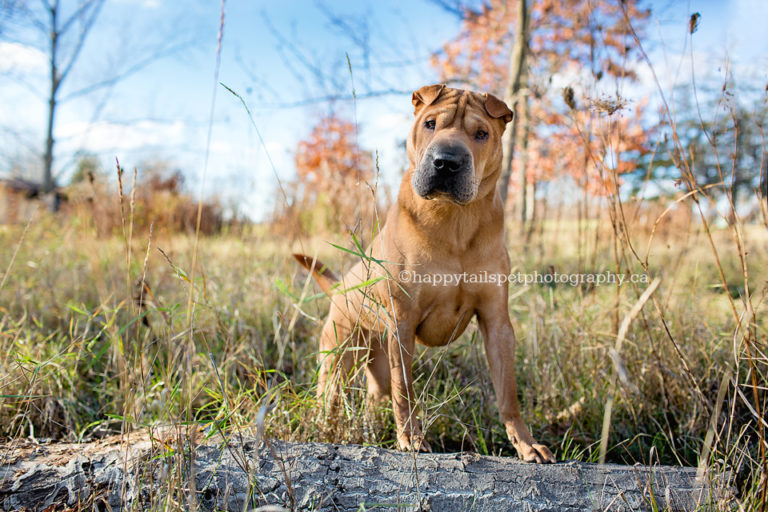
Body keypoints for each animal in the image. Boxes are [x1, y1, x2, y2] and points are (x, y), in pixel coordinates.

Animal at [294, 85, 552, 464]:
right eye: (430, 123)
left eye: (481, 134)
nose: (446, 162)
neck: (453, 219)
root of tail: (340, 287)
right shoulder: (403, 320)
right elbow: (405, 389)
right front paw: (411, 437)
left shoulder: (496, 322)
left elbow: (508, 392)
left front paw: (525, 442)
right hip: (340, 353)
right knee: (332, 394)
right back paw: (325, 425)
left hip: (376, 360)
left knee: (376, 395)